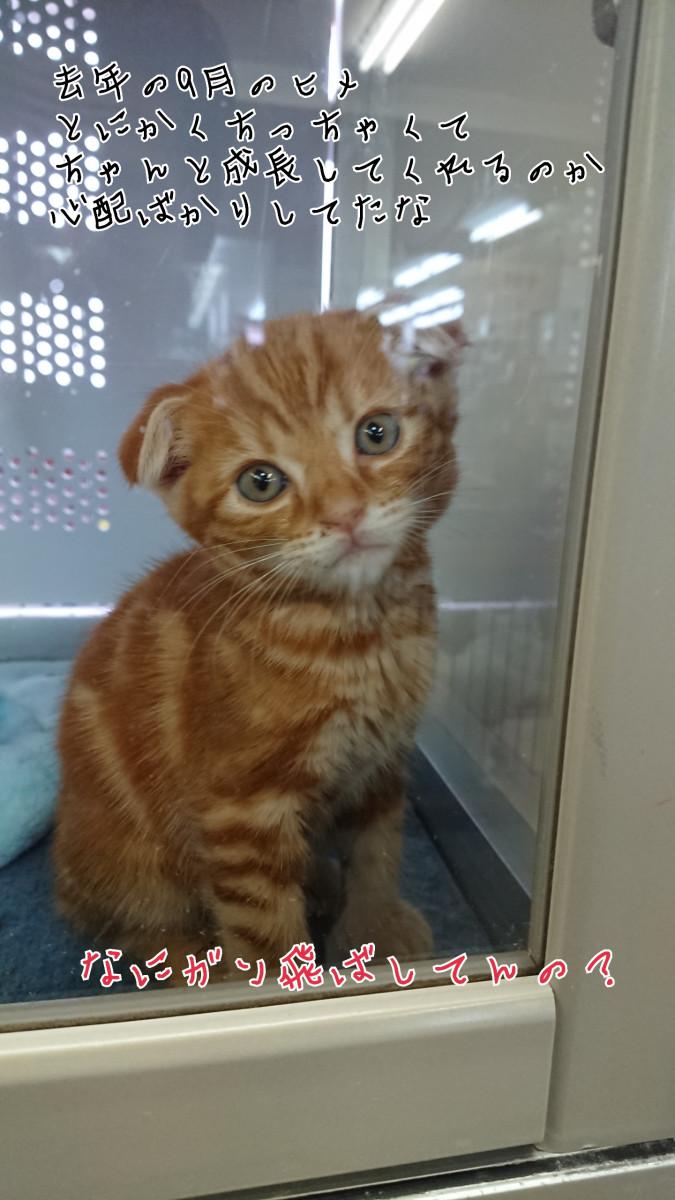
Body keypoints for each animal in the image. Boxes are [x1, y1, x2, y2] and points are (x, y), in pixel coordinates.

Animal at [53, 308, 463, 982]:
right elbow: (263, 924)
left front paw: (375, 929)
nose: (345, 514)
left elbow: (379, 848)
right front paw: (276, 984)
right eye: (261, 482)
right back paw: (196, 963)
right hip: (133, 861)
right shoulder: (241, 808)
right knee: (134, 927)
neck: (363, 638)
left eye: (377, 434)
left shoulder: (383, 760)